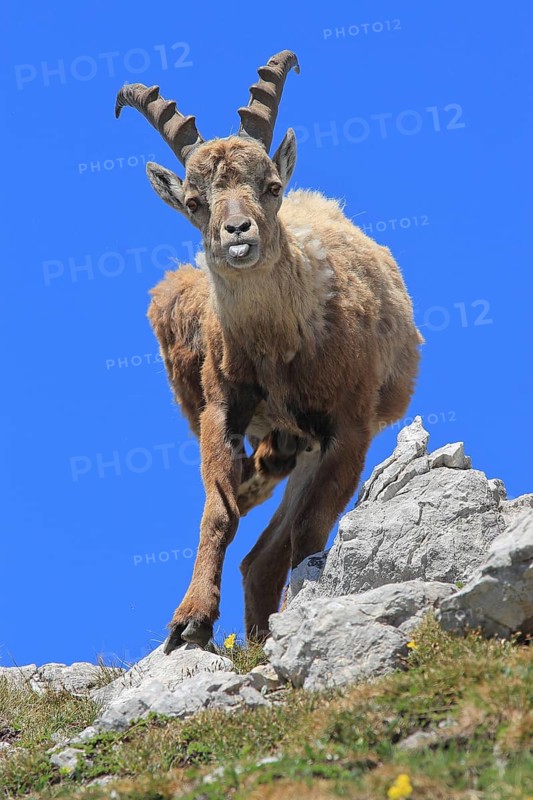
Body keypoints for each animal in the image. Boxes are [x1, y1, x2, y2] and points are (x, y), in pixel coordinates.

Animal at [115, 50, 423, 654]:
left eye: (271, 184)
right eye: (194, 201)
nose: (238, 232)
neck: (276, 347)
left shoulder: (348, 429)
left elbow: (310, 533)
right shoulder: (222, 411)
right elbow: (218, 513)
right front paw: (190, 620)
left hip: (313, 446)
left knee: (277, 548)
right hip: (285, 441)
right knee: (258, 555)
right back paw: (255, 635)